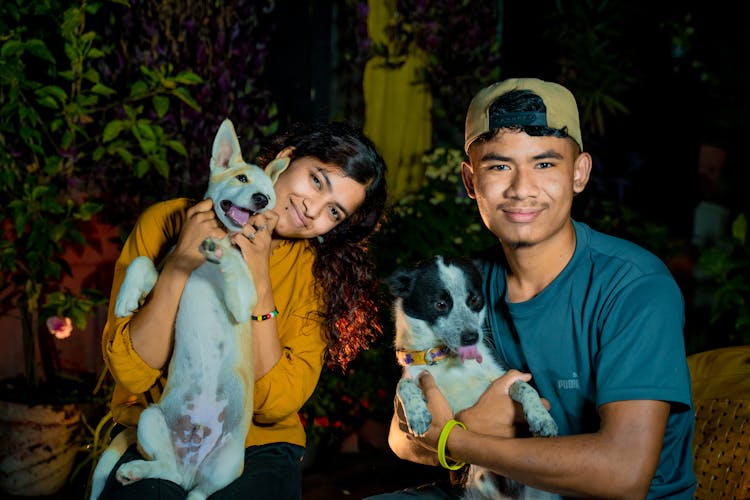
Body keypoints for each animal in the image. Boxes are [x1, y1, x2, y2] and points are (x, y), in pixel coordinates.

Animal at [390, 256, 560, 500]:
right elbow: (402, 384)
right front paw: (417, 414)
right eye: (440, 304)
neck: (446, 359)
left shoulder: (505, 375)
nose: (472, 337)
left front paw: (541, 418)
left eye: (475, 300)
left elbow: (525, 387)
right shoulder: (414, 374)